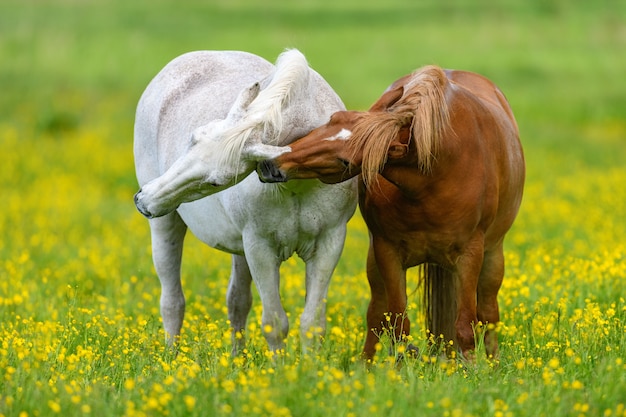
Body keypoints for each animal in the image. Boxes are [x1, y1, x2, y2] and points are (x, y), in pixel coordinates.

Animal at [132, 49, 356, 354]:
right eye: (193, 139)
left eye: (217, 181)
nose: (143, 199)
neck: (297, 182)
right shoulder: (260, 247)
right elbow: (275, 323)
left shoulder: (328, 245)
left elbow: (312, 324)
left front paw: (310, 366)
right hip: (167, 225)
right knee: (172, 301)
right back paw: (171, 357)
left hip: (239, 249)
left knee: (236, 302)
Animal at [256, 66, 524, 360]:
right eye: (333, 119)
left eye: (345, 161)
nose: (271, 164)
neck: (437, 171)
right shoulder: (387, 252)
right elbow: (397, 323)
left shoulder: (470, 256)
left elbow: (466, 325)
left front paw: (472, 369)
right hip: (375, 263)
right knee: (376, 315)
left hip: (492, 257)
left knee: (489, 315)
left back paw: (492, 363)